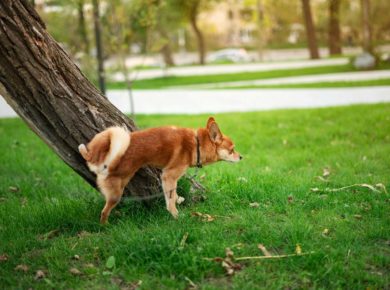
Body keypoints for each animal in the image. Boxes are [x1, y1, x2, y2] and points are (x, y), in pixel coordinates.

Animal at [78, 116, 242, 223]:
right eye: (232, 150)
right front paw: (176, 216)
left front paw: (178, 199)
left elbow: (172, 195)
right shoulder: (169, 175)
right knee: (104, 212)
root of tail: (101, 162)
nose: (241, 157)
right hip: (116, 193)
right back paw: (105, 226)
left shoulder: (167, 179)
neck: (196, 143)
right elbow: (170, 202)